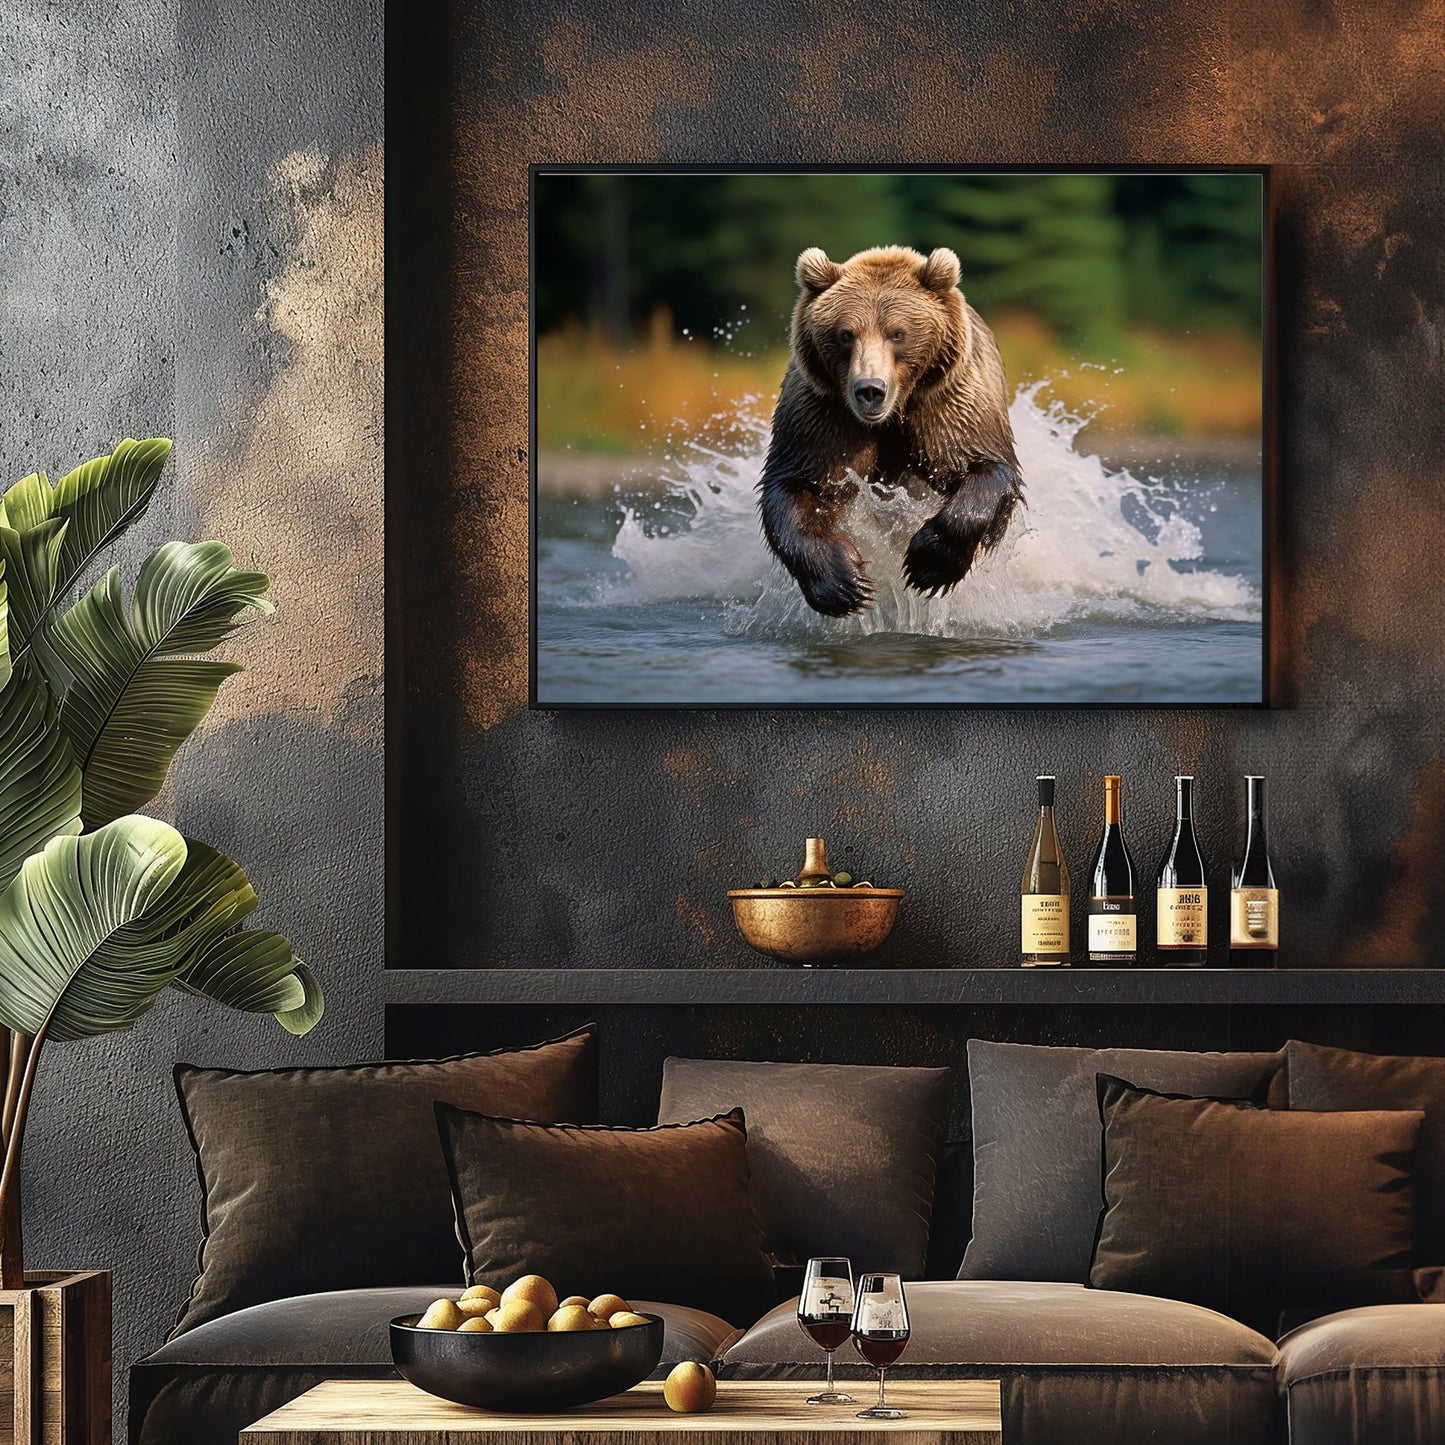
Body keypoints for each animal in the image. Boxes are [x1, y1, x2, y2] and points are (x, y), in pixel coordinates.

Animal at [757, 244, 1023, 617]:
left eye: (897, 333)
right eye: (846, 334)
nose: (870, 390)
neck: (893, 414)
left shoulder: (948, 402)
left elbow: (983, 468)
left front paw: (929, 564)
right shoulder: (824, 413)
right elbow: (798, 484)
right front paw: (846, 584)